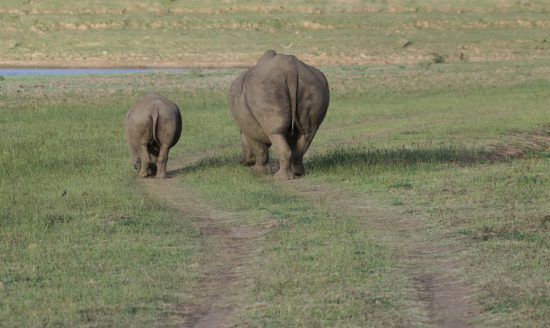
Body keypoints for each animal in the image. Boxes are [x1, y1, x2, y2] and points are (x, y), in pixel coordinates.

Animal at [230, 50, 330, 181]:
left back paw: (280, 178)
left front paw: (259, 172)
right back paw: (298, 174)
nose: (243, 162)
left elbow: (259, 148)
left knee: (276, 133)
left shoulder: (250, 129)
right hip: (314, 86)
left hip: (265, 89)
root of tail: (291, 70)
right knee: (307, 134)